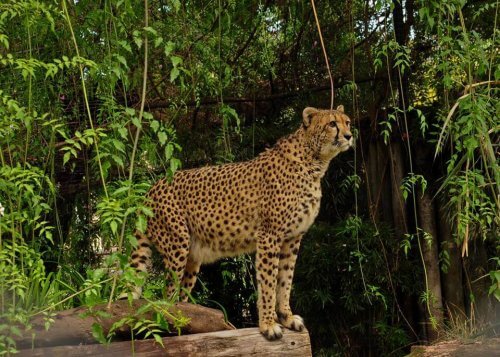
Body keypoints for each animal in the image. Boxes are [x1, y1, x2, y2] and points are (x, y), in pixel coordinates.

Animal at [127, 104, 354, 338]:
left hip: (191, 256)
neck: (314, 161)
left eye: (347, 122)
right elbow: (269, 282)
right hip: (177, 245)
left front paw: (287, 317)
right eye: (332, 123)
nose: (349, 135)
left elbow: (285, 280)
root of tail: (153, 187)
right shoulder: (269, 236)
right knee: (165, 296)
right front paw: (269, 324)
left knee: (179, 295)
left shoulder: (292, 238)